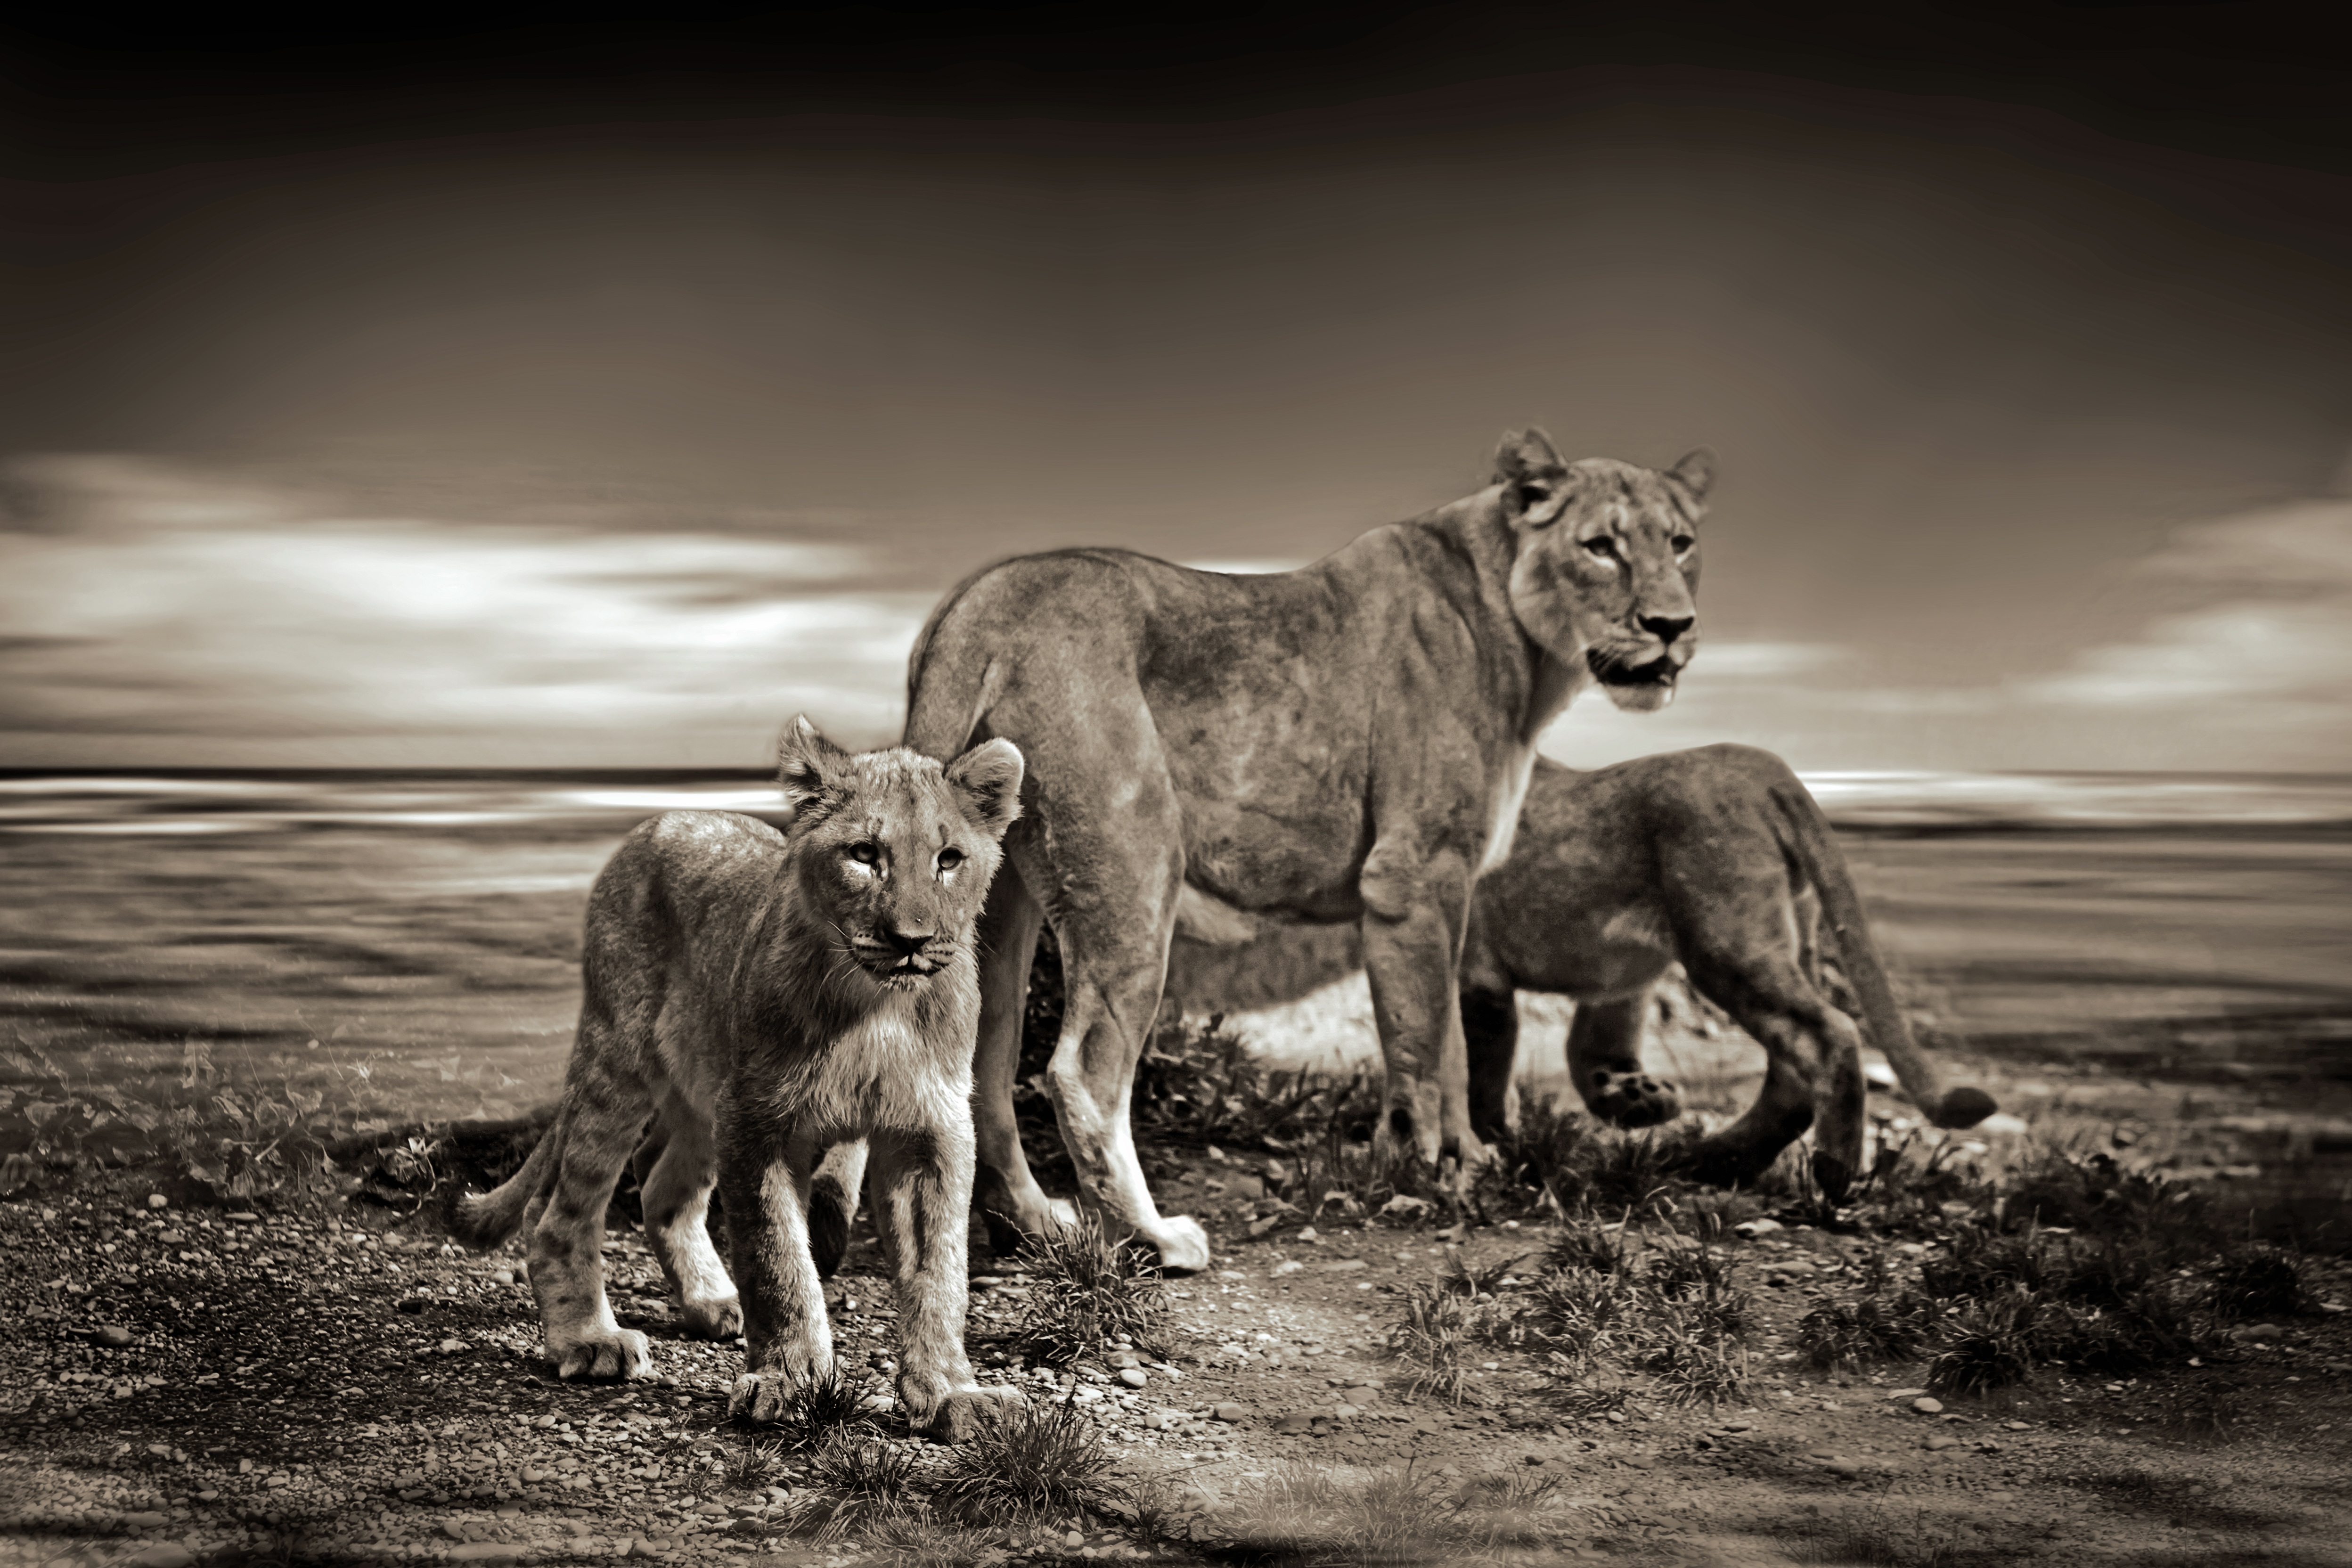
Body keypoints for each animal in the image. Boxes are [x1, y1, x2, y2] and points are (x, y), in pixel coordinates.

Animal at [451, 717, 1027, 1441]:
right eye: (864, 853)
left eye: (949, 859)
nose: (911, 939)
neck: (874, 1008)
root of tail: (664, 818)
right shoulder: (760, 1123)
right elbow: (778, 1259)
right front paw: (790, 1380)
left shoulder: (931, 1130)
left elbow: (939, 1272)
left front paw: (953, 1393)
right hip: (621, 1060)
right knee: (561, 1213)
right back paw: (589, 1340)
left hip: (707, 1087)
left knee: (663, 1188)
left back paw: (712, 1300)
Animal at [878, 428, 1713, 1271]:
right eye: (1601, 546)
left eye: (1681, 543)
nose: (1672, 625)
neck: (1524, 643)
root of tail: (976, 607)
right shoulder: (1413, 873)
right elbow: (1425, 1042)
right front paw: (1433, 1172)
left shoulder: (1444, 886)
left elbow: (1448, 1034)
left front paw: (1465, 1159)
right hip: (1135, 863)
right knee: (1083, 1068)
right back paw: (1153, 1237)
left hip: (1003, 899)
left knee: (985, 1062)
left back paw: (1035, 1224)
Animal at [1160, 746, 1999, 1198]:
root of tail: (1758, 765)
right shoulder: (1613, 981)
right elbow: (1558, 1053)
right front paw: (1622, 1104)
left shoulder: (1480, 973)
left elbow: (1476, 1062)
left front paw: (1490, 1139)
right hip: (1762, 940)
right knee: (1792, 1068)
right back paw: (1709, 1159)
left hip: (1727, 939)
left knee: (1828, 1035)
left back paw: (1830, 1169)